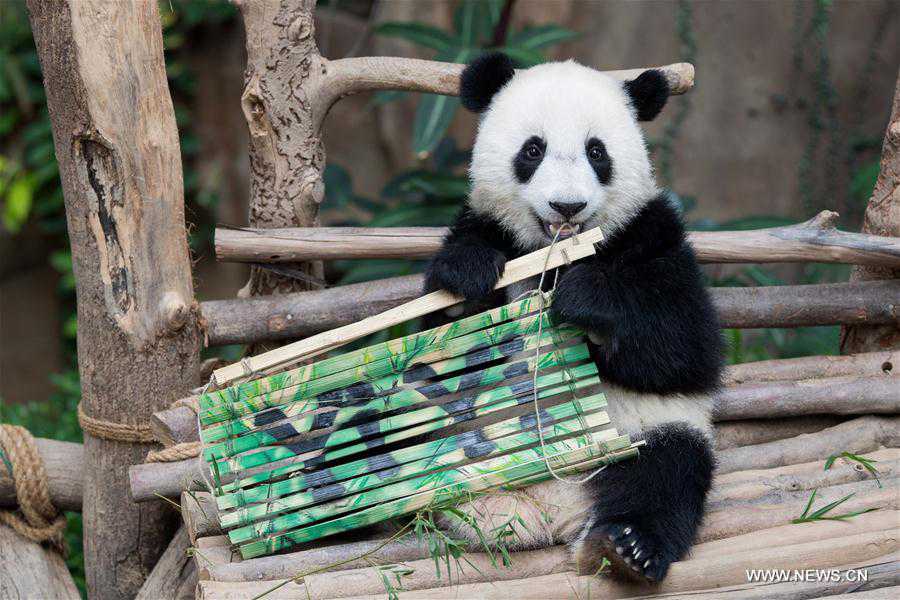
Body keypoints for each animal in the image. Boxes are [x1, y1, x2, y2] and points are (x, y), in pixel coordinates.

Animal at [423, 53, 723, 584]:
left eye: (597, 152)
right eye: (533, 149)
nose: (567, 205)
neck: (556, 255)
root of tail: (549, 510)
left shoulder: (652, 236)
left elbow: (686, 347)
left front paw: (585, 300)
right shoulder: (482, 226)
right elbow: (433, 353)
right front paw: (468, 276)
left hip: (647, 433)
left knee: (667, 474)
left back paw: (625, 548)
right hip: (455, 440)